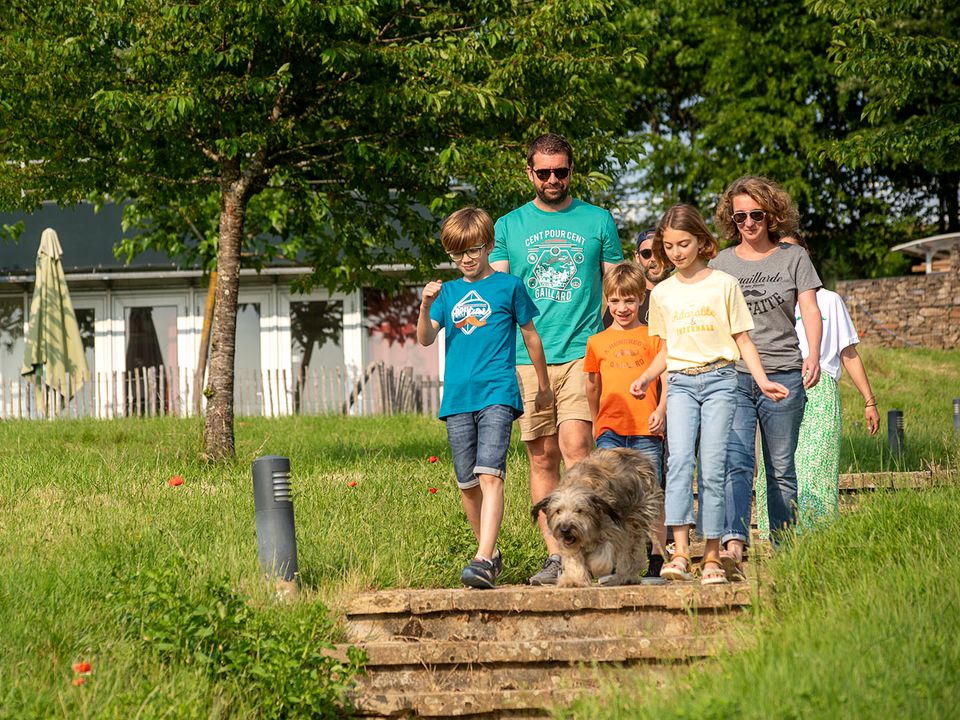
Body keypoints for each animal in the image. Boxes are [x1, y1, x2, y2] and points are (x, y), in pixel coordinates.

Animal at [528, 448, 664, 588]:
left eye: (579, 510)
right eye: (558, 511)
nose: (565, 529)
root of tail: (638, 454)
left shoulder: (613, 529)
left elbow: (603, 553)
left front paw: (594, 565)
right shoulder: (570, 543)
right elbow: (574, 557)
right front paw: (574, 580)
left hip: (636, 517)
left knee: (631, 550)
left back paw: (627, 576)